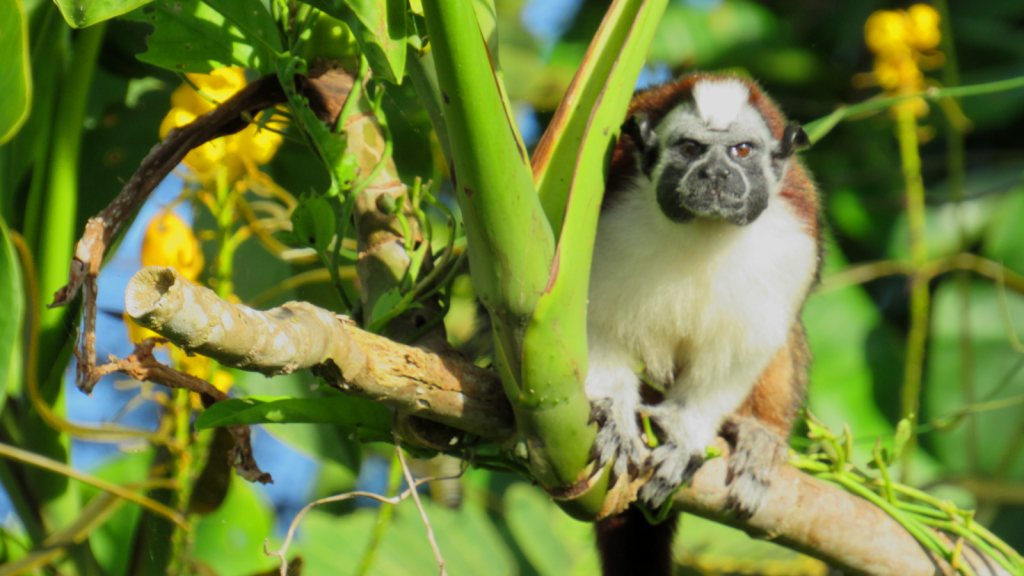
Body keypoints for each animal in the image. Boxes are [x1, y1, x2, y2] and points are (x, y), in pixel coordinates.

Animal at [585, 73, 823, 569]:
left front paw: (685, 434)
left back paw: (758, 434)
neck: (704, 231)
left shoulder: (795, 241)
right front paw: (614, 415)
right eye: (691, 148)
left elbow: (743, 350)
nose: (715, 174)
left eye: (741, 151)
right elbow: (593, 323)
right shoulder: (597, 218)